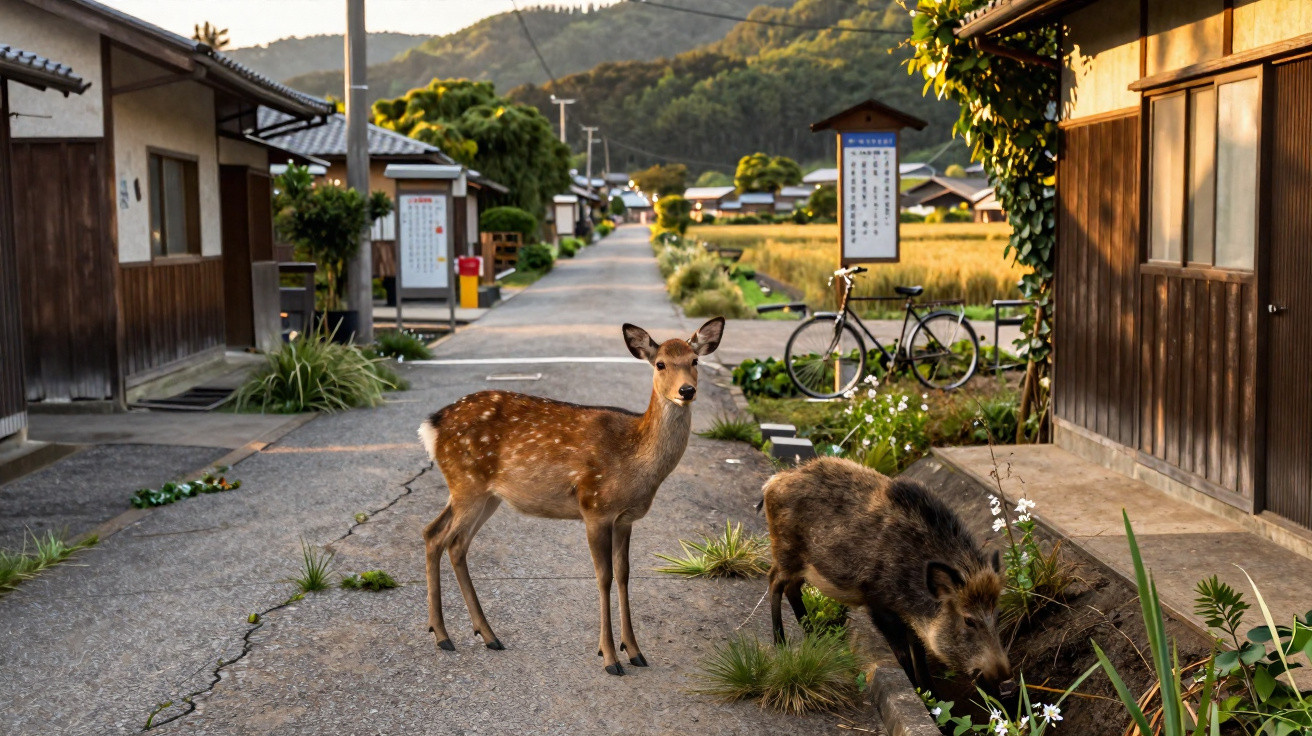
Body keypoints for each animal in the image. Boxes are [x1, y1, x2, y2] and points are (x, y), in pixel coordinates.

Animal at [417, 317, 725, 676]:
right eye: (660, 363)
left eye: (695, 361)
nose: (686, 391)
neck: (635, 461)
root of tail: (432, 426)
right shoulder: (594, 507)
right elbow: (603, 577)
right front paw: (609, 657)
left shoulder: (626, 518)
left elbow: (624, 575)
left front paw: (635, 651)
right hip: (467, 485)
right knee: (440, 537)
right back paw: (443, 636)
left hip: (484, 495)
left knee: (446, 539)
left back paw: (486, 635)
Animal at [761, 457, 1014, 694]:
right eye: (969, 620)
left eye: (998, 614)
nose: (1006, 679)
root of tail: (773, 481)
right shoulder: (877, 603)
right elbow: (903, 654)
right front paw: (918, 691)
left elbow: (920, 654)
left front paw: (932, 695)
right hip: (785, 550)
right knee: (774, 580)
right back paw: (780, 643)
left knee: (792, 588)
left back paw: (816, 637)